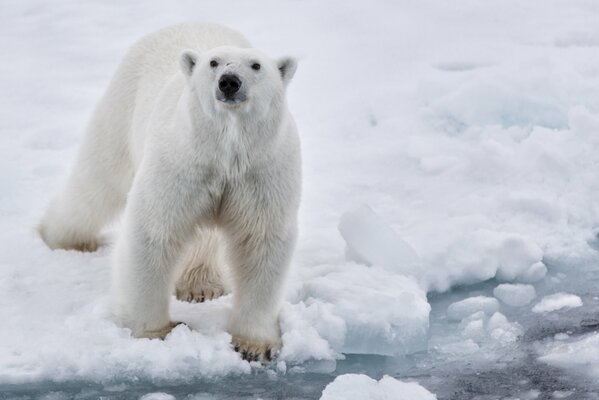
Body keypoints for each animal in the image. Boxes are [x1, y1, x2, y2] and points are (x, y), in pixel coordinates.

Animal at [36, 22, 300, 362]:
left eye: (256, 66)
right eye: (213, 62)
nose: (229, 82)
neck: (224, 151)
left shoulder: (260, 171)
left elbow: (260, 241)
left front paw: (255, 345)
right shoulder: (181, 161)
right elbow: (154, 230)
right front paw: (157, 332)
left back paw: (200, 285)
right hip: (123, 103)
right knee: (96, 183)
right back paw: (65, 238)